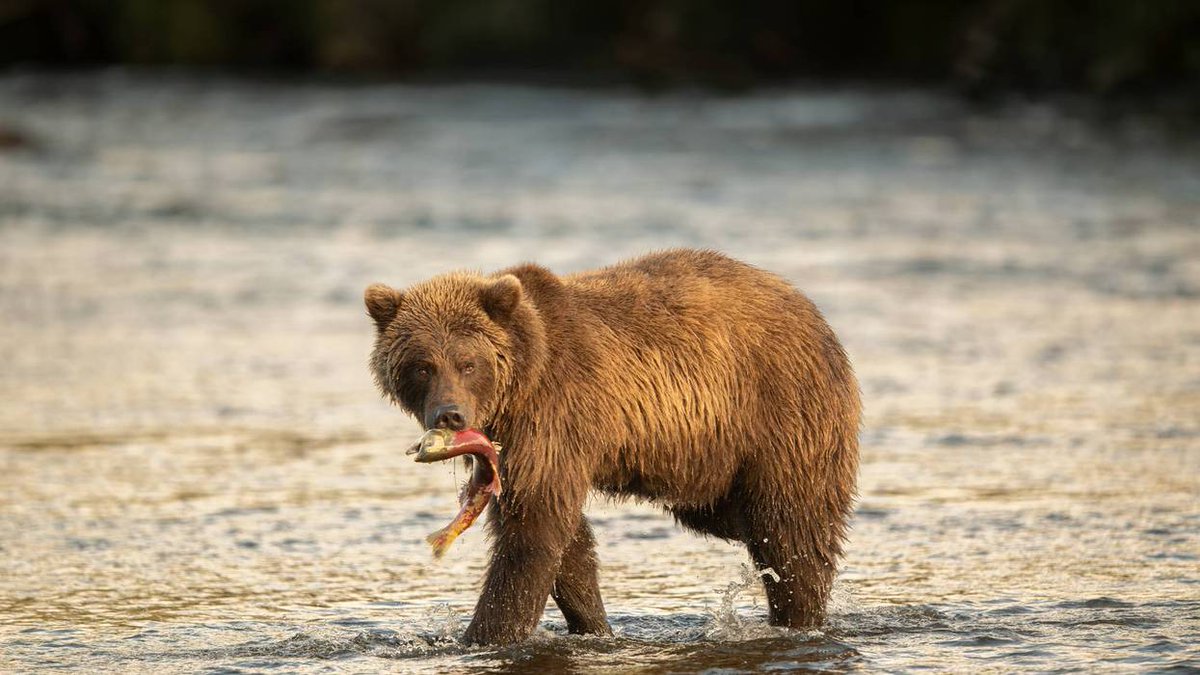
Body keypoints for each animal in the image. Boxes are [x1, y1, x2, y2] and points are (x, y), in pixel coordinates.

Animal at [365, 249, 860, 645]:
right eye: (422, 366)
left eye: (468, 363)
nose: (449, 415)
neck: (522, 383)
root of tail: (809, 308)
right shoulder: (519, 448)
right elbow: (566, 542)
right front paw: (594, 624)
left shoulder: (555, 416)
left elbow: (533, 530)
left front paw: (484, 635)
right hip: (710, 463)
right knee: (742, 519)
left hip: (780, 412)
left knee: (790, 526)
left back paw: (800, 614)